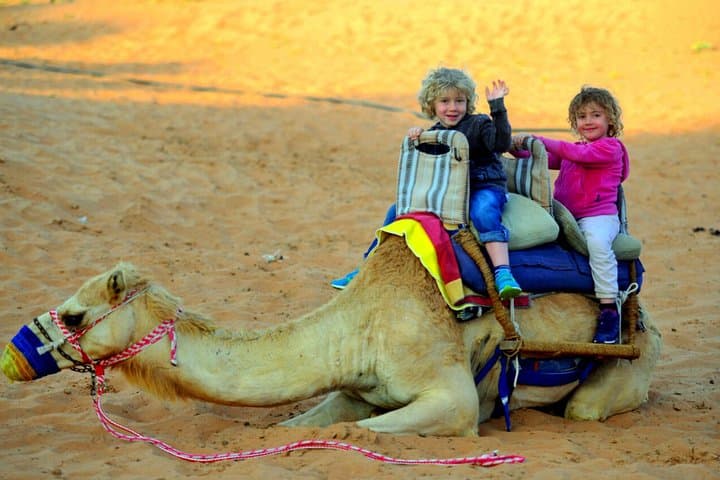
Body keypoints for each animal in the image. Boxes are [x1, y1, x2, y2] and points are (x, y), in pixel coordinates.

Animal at [1, 235, 662, 437]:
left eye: (75, 315)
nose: (12, 356)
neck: (358, 327)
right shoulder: (355, 387)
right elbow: (302, 426)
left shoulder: (448, 396)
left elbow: (359, 432)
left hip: (629, 365)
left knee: (582, 409)